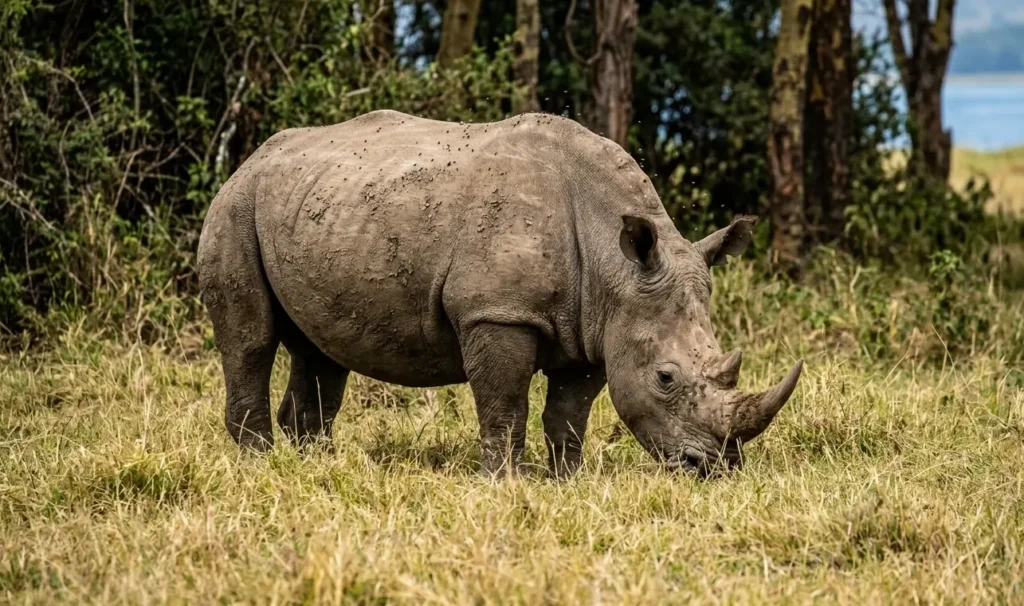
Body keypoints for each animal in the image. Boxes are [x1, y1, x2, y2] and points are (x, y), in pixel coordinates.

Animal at [197, 110, 802, 477]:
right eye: (666, 378)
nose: (714, 467)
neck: (617, 266)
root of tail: (250, 158)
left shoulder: (596, 325)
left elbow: (569, 413)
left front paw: (566, 480)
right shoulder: (497, 312)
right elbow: (505, 404)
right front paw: (504, 482)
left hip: (318, 209)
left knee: (322, 351)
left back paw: (313, 465)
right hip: (235, 206)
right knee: (251, 340)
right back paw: (259, 464)